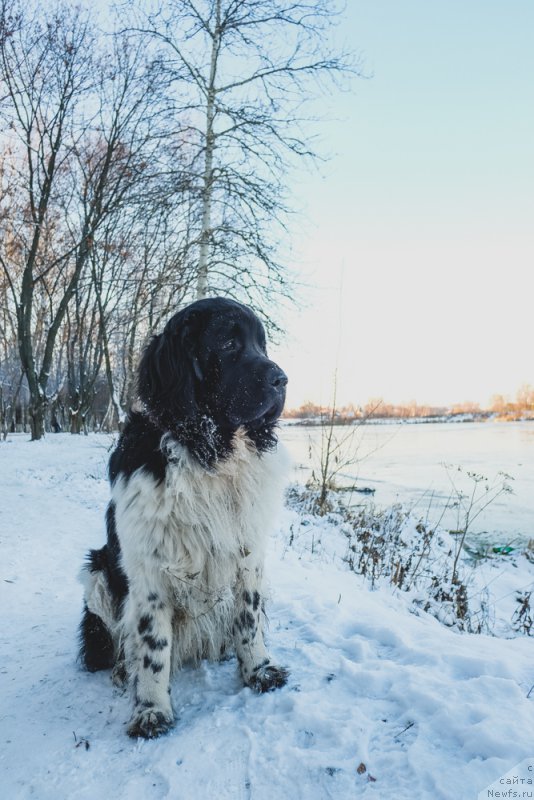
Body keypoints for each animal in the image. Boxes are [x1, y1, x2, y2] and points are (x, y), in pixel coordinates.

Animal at [77, 298, 292, 736]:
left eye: (261, 345)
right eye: (228, 343)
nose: (282, 379)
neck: (209, 455)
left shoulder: (248, 552)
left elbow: (249, 617)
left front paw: (259, 670)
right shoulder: (149, 570)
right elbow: (152, 646)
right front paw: (151, 709)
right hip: (97, 572)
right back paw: (122, 671)